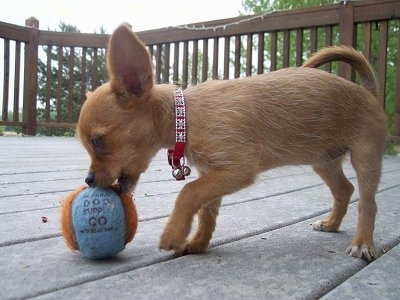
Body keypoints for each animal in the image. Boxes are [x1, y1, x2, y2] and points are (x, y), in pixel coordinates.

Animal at [78, 24, 388, 262]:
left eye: (98, 141)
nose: (89, 180)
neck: (186, 117)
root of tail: (368, 91)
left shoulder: (236, 169)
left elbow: (188, 192)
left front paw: (173, 234)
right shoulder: (212, 174)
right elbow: (206, 211)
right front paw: (197, 243)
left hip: (365, 157)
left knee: (368, 202)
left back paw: (363, 243)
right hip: (323, 160)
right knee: (344, 190)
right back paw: (331, 224)